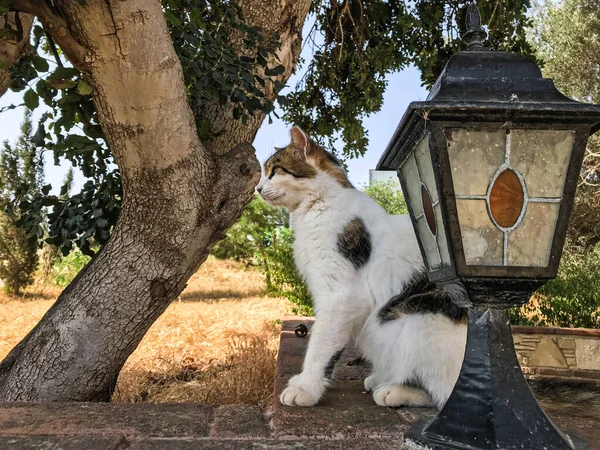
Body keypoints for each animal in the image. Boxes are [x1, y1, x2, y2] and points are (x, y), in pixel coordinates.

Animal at [255, 125, 466, 408]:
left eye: (275, 170)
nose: (257, 188)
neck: (318, 205)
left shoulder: (340, 297)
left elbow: (320, 346)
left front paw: (306, 387)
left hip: (419, 319)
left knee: (446, 394)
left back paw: (394, 391)